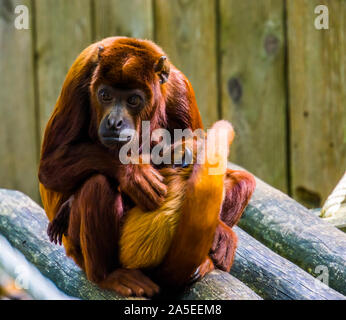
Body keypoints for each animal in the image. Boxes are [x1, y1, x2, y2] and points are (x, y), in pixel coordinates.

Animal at [38, 37, 254, 298]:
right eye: (105, 95)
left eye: (133, 99)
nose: (114, 122)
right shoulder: (79, 78)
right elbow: (50, 167)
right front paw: (133, 173)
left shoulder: (181, 90)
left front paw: (220, 231)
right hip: (80, 252)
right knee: (97, 185)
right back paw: (108, 275)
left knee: (242, 180)